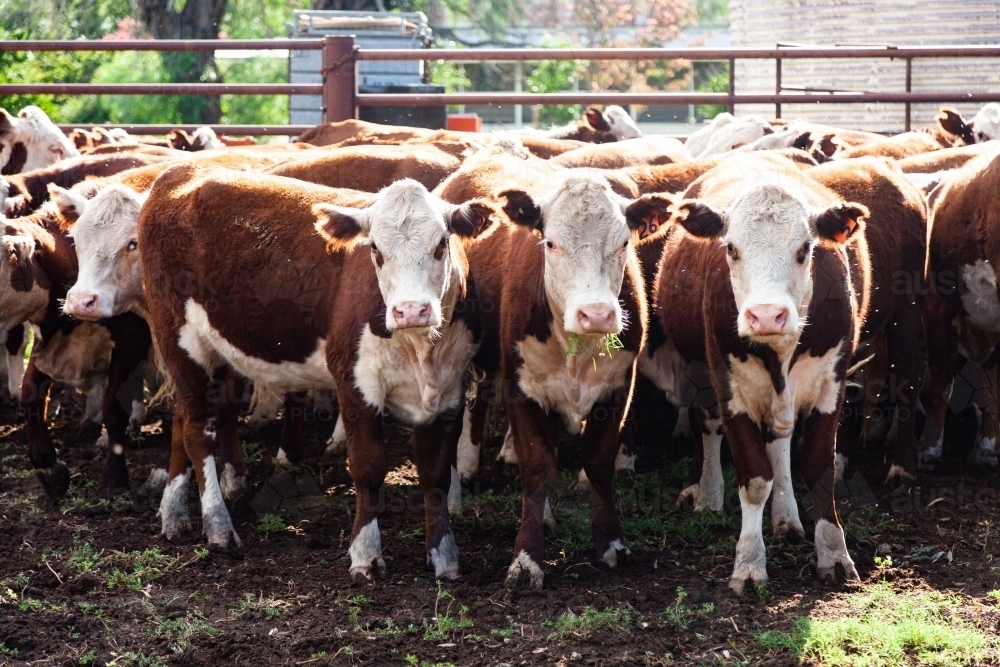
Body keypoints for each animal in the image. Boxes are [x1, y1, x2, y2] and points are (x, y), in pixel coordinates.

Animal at [140, 166, 495, 583]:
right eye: (375, 249)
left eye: (442, 243)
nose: (410, 310)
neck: (421, 351)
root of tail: (182, 171)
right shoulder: (355, 384)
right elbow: (368, 466)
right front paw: (365, 554)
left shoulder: (449, 392)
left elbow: (436, 474)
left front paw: (444, 556)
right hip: (179, 339)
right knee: (197, 430)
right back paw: (218, 527)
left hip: (210, 351)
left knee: (184, 418)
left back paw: (174, 513)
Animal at [648, 154, 865, 593]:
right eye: (731, 248)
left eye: (805, 248)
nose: (766, 315)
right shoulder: (730, 388)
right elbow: (753, 477)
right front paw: (749, 562)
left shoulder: (831, 384)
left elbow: (819, 468)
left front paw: (833, 554)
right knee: (707, 424)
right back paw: (708, 493)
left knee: (779, 442)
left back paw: (786, 517)